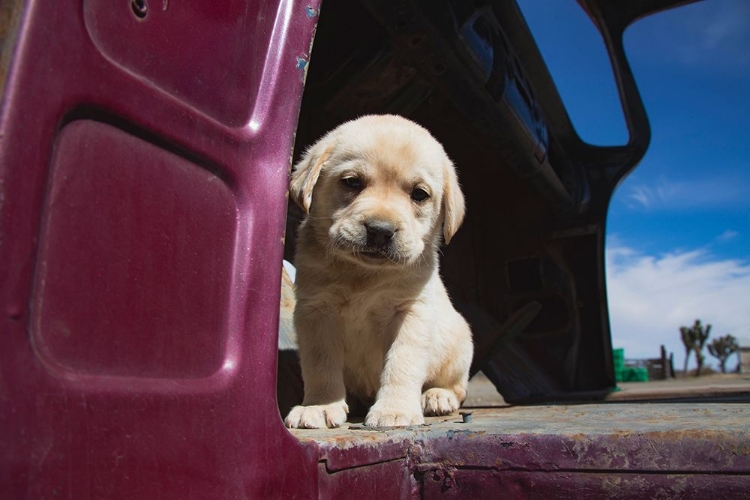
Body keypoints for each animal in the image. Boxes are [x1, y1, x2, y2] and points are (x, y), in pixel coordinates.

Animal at [284, 115, 472, 428]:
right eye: (352, 182)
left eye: (419, 194)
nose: (380, 231)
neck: (364, 275)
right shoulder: (316, 312)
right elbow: (320, 365)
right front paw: (320, 406)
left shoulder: (411, 312)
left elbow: (401, 363)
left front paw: (395, 410)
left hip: (460, 343)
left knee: (457, 387)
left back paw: (437, 396)